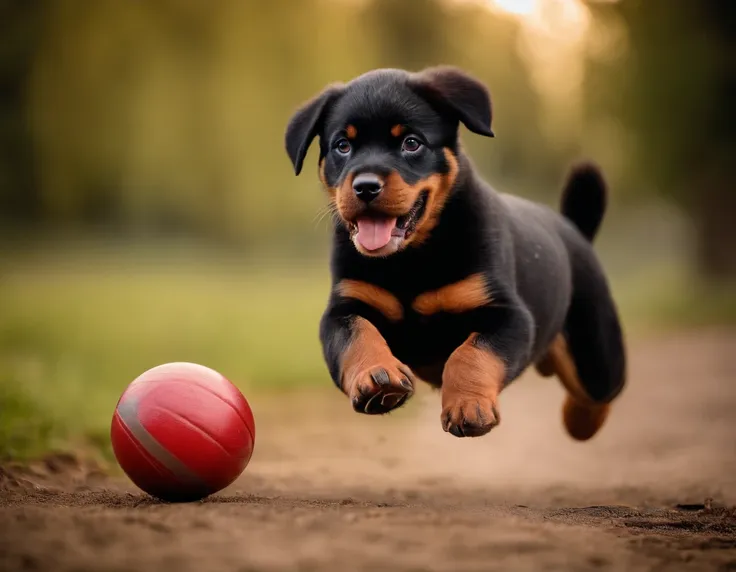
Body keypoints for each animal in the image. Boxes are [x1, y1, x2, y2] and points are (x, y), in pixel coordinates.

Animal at [284, 68, 624, 442]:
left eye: (411, 143)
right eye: (342, 146)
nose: (365, 186)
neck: (409, 259)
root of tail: (573, 228)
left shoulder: (509, 315)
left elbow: (472, 353)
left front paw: (468, 405)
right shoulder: (344, 307)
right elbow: (356, 337)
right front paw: (377, 379)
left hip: (595, 349)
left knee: (601, 392)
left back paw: (578, 422)